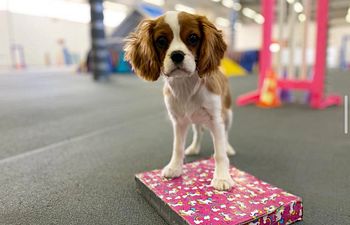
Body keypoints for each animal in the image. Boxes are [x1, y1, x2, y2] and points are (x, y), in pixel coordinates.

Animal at [124, 10, 237, 190]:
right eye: (161, 41)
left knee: (225, 134)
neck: (185, 85)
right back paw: (194, 147)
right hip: (196, 119)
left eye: (193, 38)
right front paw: (175, 167)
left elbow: (219, 152)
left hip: (227, 114)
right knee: (198, 132)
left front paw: (222, 177)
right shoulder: (178, 121)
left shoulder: (215, 118)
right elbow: (177, 147)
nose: (177, 55)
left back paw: (229, 147)